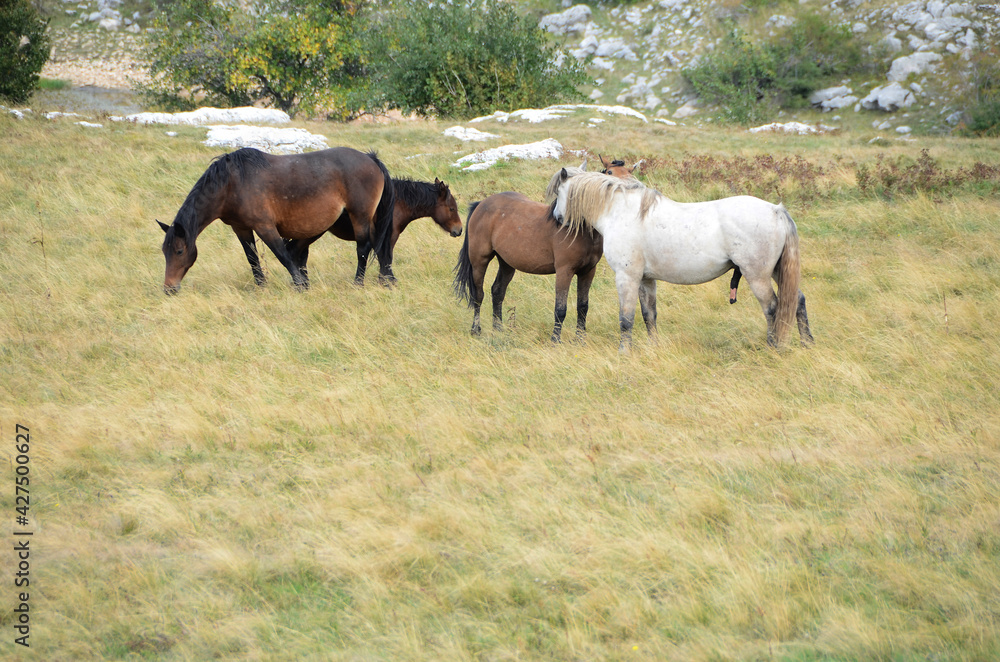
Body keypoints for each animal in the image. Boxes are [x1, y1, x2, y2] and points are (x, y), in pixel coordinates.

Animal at [157, 147, 394, 294]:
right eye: (164, 252)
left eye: (179, 251)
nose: (169, 289)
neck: (232, 183)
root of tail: (371, 159)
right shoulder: (241, 228)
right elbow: (252, 258)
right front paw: (262, 286)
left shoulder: (264, 226)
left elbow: (283, 256)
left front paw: (300, 286)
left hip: (360, 216)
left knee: (363, 248)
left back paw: (358, 283)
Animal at [286, 178, 464, 282]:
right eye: (452, 208)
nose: (459, 230)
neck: (397, 202)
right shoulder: (389, 237)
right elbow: (386, 258)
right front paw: (388, 280)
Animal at [456, 163, 632, 344]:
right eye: (610, 173)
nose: (558, 218)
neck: (578, 228)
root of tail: (481, 204)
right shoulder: (564, 271)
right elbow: (560, 309)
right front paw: (555, 340)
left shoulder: (588, 271)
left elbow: (583, 307)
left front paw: (580, 340)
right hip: (479, 261)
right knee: (478, 295)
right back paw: (476, 330)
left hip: (507, 264)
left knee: (497, 292)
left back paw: (498, 329)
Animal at [548, 169, 812, 350]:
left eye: (558, 193)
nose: (557, 218)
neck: (621, 213)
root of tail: (776, 211)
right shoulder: (646, 279)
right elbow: (649, 314)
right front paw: (653, 347)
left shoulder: (627, 277)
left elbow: (626, 318)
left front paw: (624, 351)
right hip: (777, 271)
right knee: (797, 300)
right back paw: (807, 343)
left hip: (757, 276)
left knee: (773, 308)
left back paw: (773, 346)